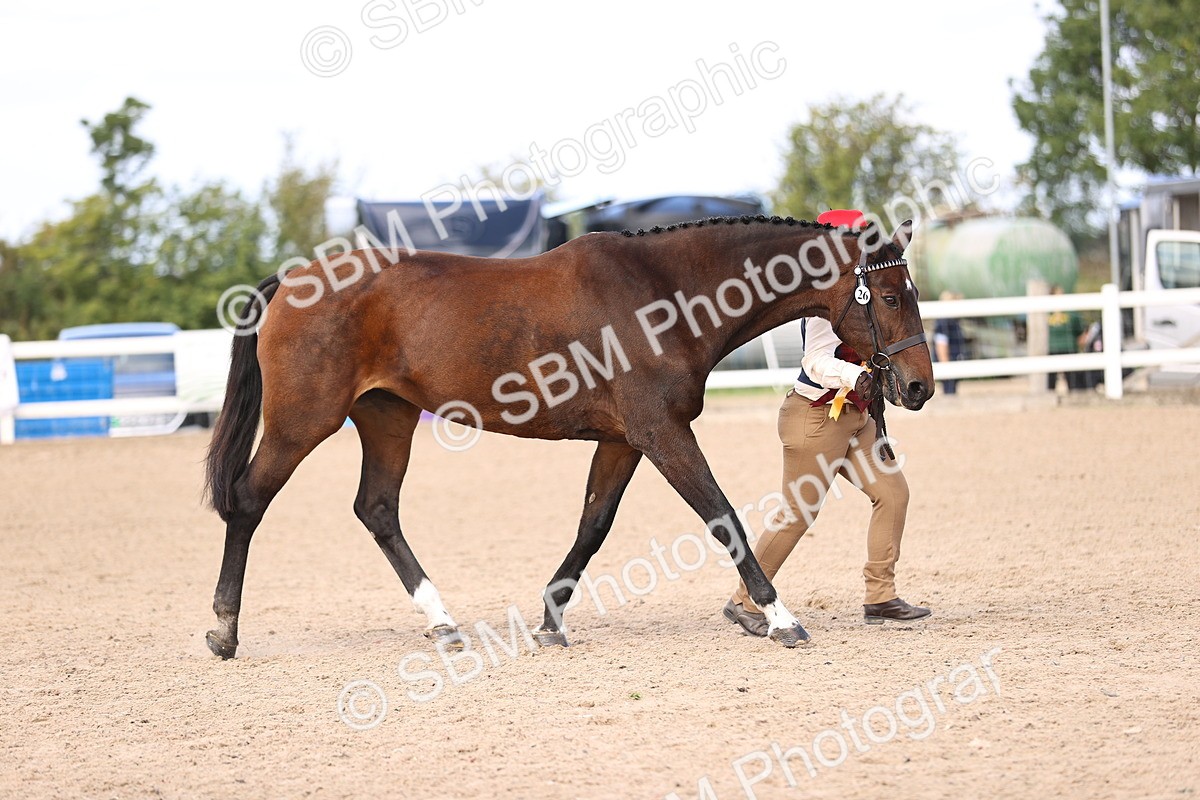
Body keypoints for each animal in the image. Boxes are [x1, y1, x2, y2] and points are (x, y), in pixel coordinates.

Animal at [202, 214, 933, 659]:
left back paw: (443, 622)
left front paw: (551, 621)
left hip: (388, 418)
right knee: (248, 502)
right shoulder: (662, 433)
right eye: (890, 296)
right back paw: (224, 630)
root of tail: (292, 280)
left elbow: (593, 523)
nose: (918, 387)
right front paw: (782, 620)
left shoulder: (625, 440)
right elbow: (722, 516)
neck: (664, 295)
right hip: (303, 422)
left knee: (377, 509)